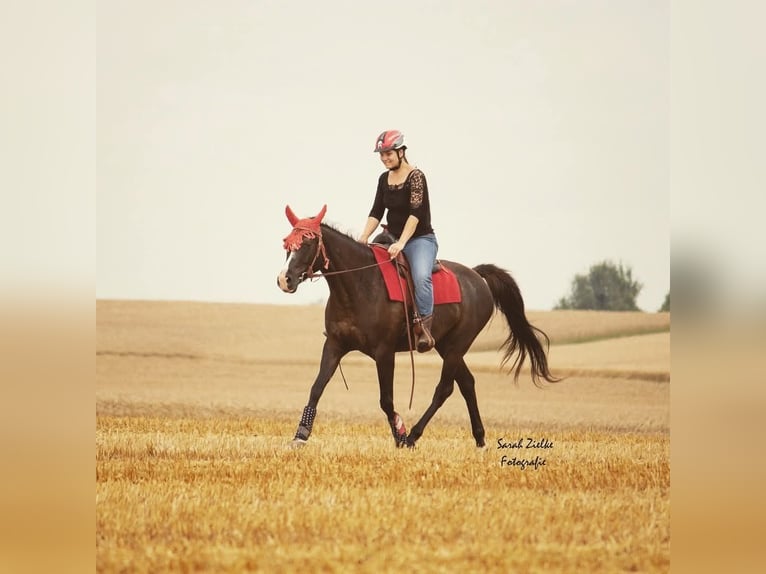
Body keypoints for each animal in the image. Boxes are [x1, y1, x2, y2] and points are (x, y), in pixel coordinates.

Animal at [277, 205, 559, 448]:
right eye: (287, 244)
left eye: (308, 243)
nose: (284, 279)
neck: (359, 283)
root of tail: (478, 277)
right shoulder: (335, 344)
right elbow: (317, 387)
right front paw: (300, 435)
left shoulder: (384, 352)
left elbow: (386, 400)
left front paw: (400, 434)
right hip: (446, 345)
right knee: (467, 383)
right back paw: (480, 439)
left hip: (457, 346)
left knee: (445, 389)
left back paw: (413, 435)